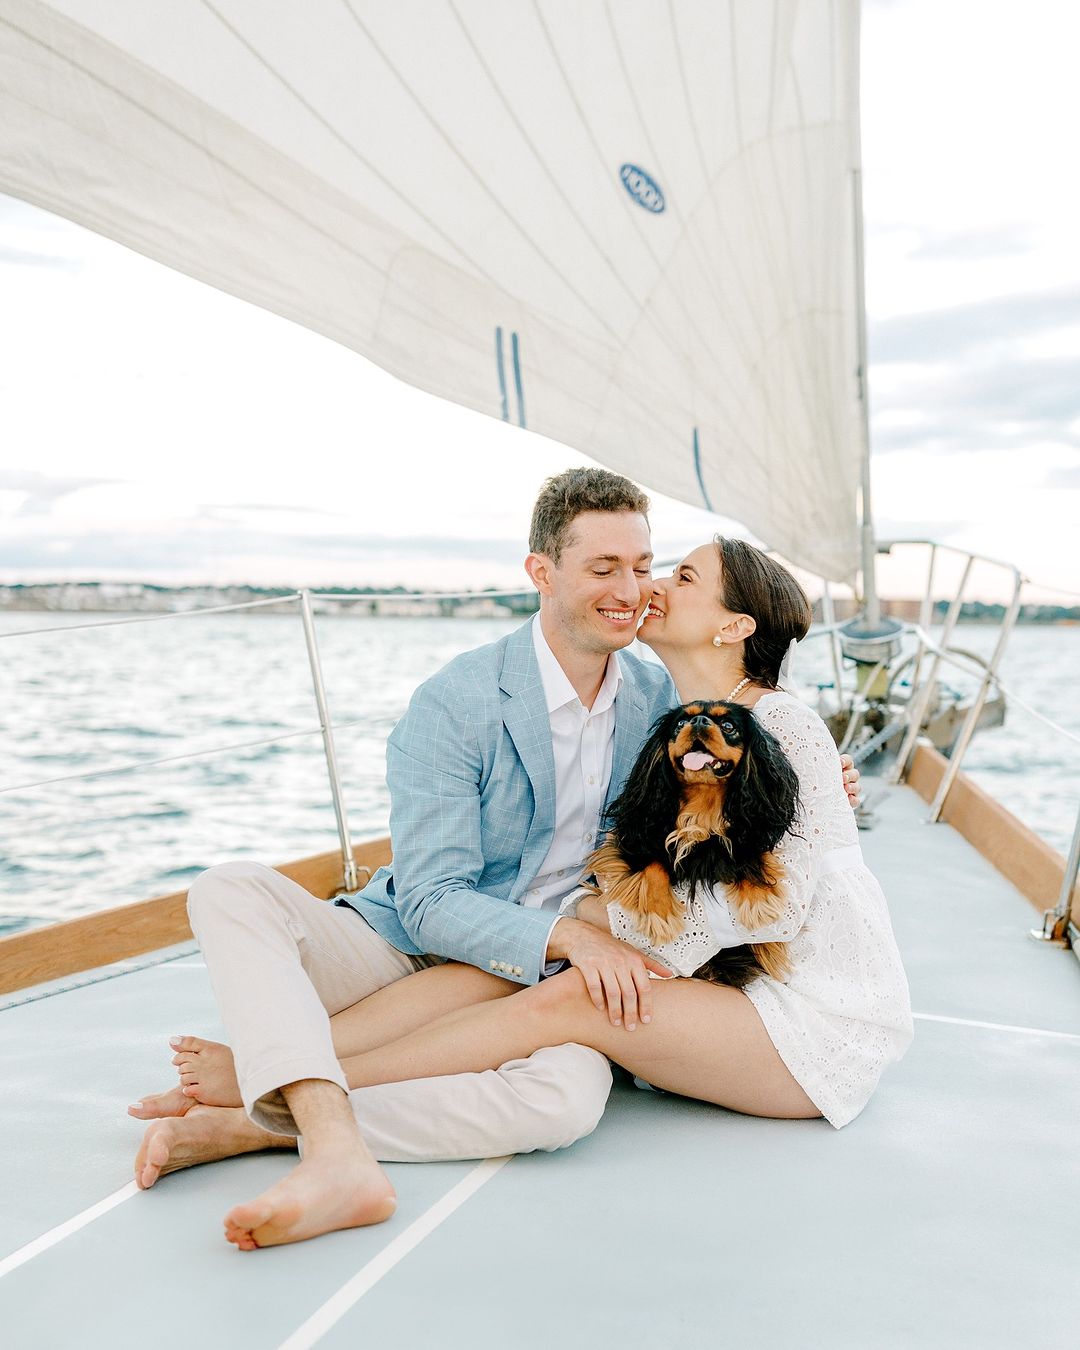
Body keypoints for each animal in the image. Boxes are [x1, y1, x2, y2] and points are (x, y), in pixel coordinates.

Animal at [583, 702, 799, 988]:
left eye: (728, 726)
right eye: (679, 724)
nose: (698, 721)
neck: (701, 807)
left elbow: (747, 855)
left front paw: (759, 899)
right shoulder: (625, 846)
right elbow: (653, 865)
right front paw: (659, 915)